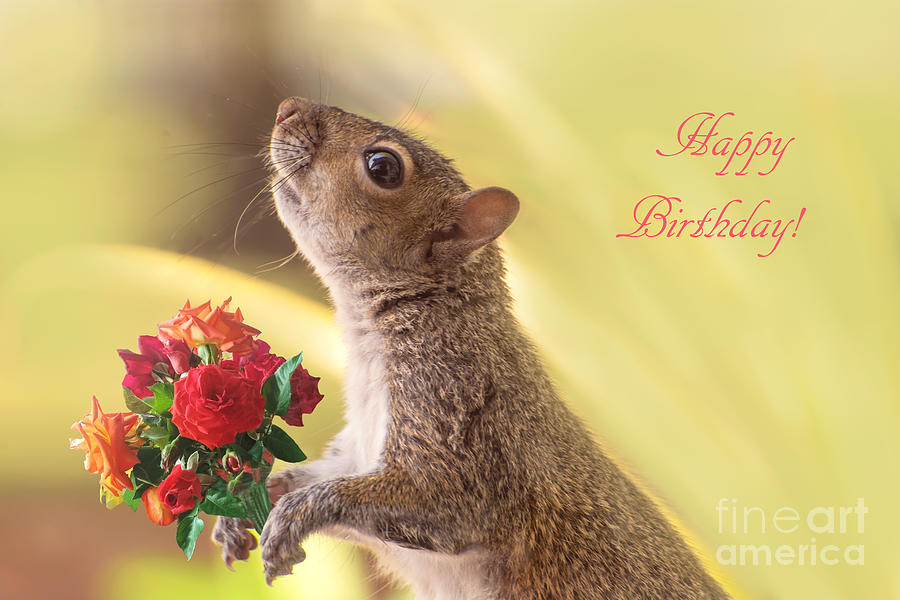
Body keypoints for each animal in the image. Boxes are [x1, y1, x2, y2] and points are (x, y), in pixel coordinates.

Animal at [213, 96, 732, 596]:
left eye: (383, 167)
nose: (288, 109)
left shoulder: (457, 411)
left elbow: (438, 499)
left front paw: (295, 514)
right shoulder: (356, 452)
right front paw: (250, 497)